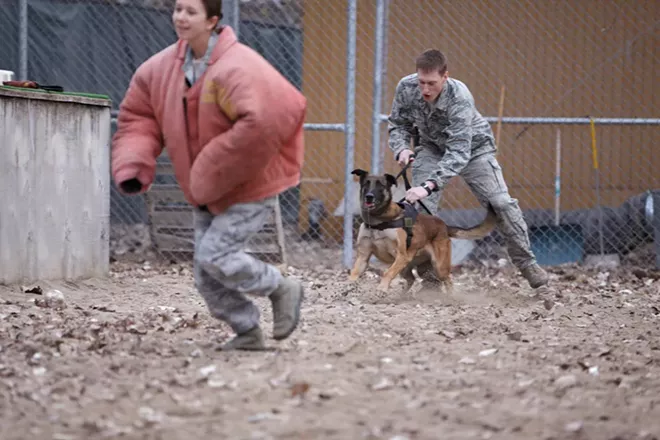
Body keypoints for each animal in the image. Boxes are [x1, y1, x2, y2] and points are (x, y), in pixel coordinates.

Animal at [350, 170, 496, 294]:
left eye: (380, 185)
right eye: (366, 184)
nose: (369, 197)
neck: (378, 222)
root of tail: (443, 225)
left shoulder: (401, 256)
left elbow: (388, 272)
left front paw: (381, 288)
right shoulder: (363, 256)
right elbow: (354, 273)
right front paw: (347, 289)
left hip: (439, 267)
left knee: (447, 279)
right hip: (410, 266)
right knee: (412, 279)